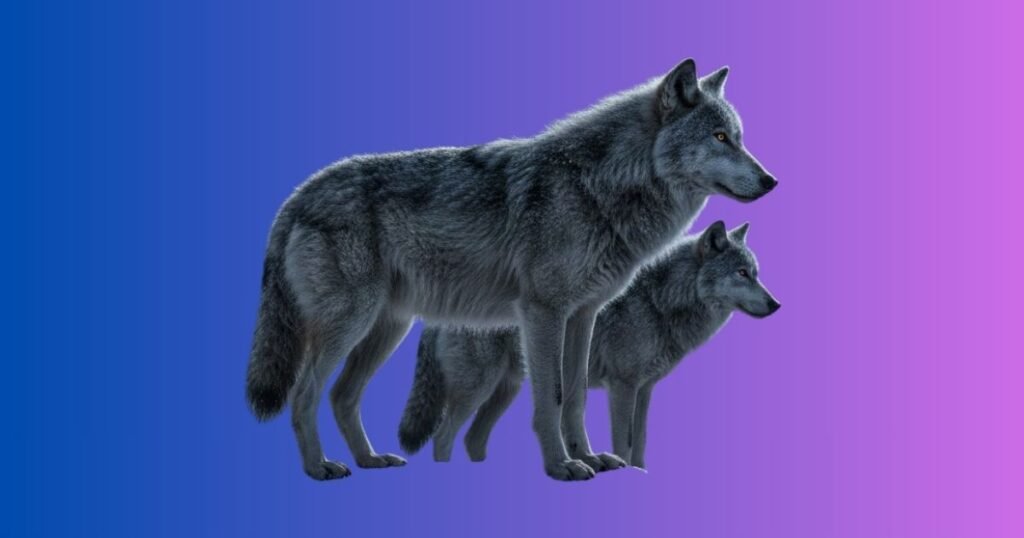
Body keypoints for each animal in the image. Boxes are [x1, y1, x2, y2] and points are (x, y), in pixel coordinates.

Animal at [399, 221, 780, 468]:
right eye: (741, 273)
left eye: (756, 273)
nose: (776, 304)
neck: (659, 303)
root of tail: (435, 320)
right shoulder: (623, 387)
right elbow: (624, 441)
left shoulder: (645, 390)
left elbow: (640, 442)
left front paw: (638, 472)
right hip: (476, 390)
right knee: (444, 436)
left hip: (504, 391)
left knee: (472, 440)